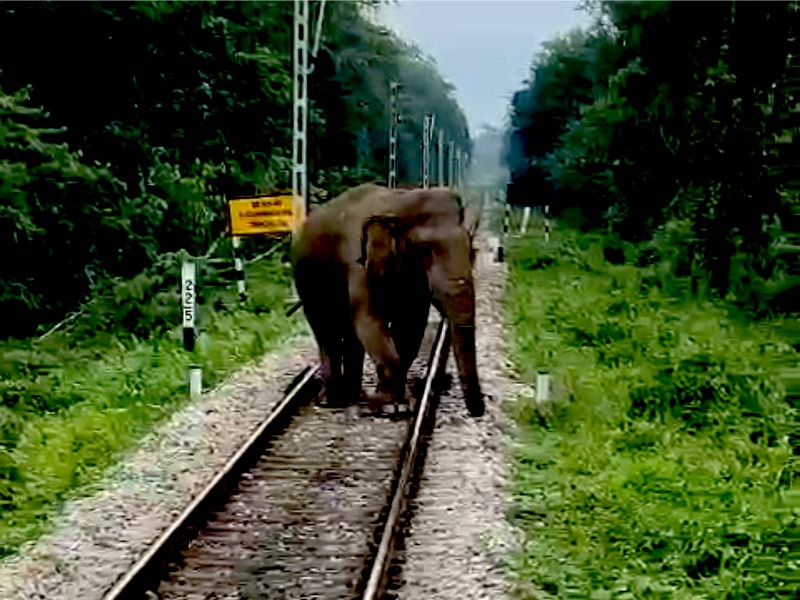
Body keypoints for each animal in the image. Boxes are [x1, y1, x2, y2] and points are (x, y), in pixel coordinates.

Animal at [290, 183, 484, 418]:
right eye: (424, 250)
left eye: (471, 249)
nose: (478, 411)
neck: (398, 201)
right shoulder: (357, 262)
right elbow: (369, 320)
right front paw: (393, 407)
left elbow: (410, 325)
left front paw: (388, 402)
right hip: (306, 282)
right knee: (326, 331)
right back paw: (332, 399)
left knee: (351, 337)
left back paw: (355, 395)